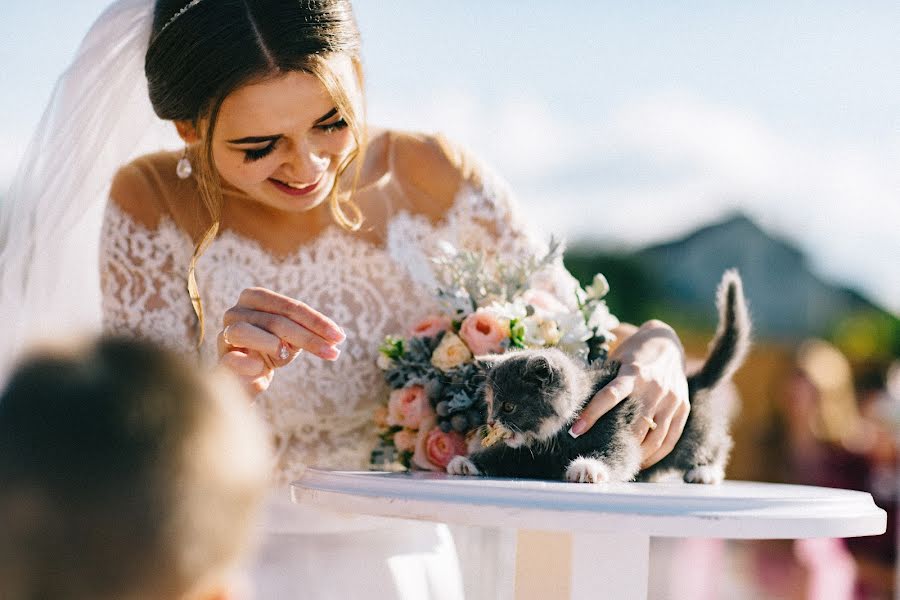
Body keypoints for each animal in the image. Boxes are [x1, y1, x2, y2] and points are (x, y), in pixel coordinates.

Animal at [450, 270, 752, 486]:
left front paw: (588, 467)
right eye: (490, 406)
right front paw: (466, 463)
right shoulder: (527, 455)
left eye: (509, 406)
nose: (491, 422)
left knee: (714, 444)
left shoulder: (616, 426)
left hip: (695, 431)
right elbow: (503, 456)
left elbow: (621, 454)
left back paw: (706, 471)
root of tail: (692, 380)